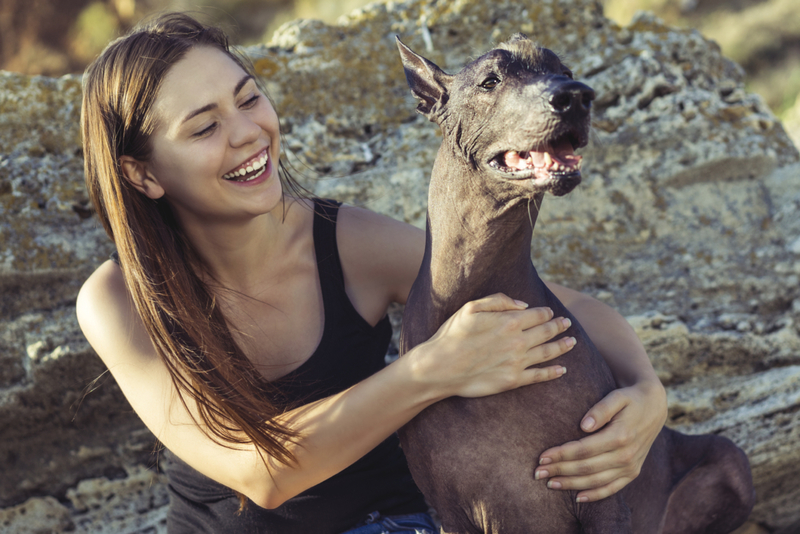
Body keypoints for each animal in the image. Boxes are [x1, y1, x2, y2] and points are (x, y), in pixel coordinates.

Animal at [396, 35, 756, 532]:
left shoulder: (601, 492)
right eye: (490, 80)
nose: (576, 95)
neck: (472, 291)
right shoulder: (449, 513)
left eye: (564, 70)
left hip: (730, 461)